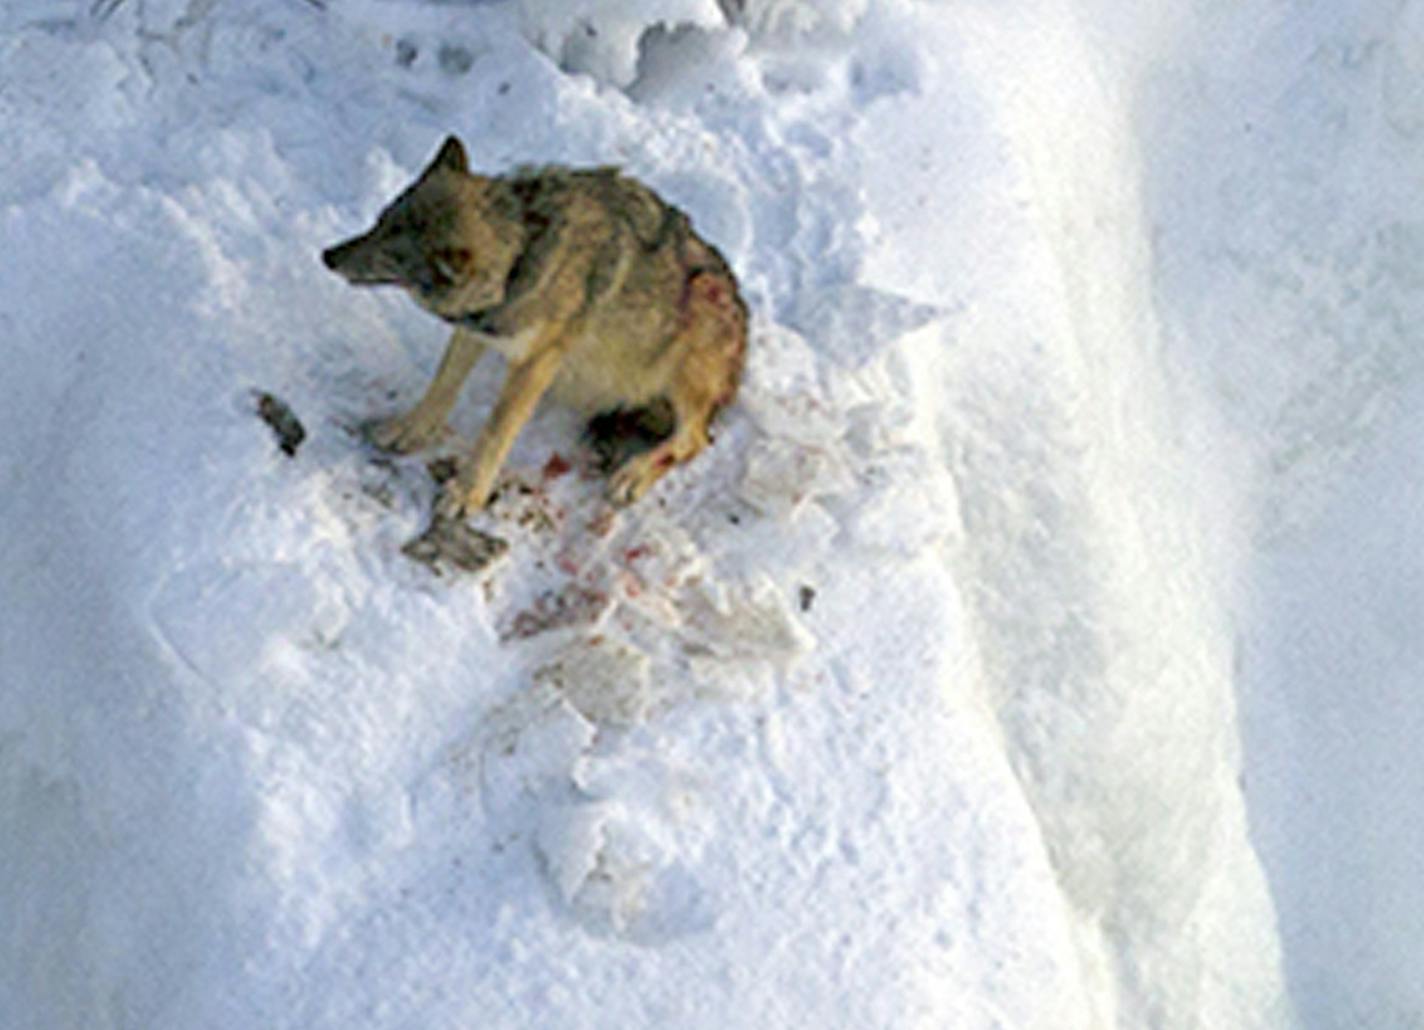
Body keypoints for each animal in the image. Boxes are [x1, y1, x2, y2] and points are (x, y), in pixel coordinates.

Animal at [320, 134, 746, 524]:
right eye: (378, 223)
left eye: (389, 256)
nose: (327, 255)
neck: (522, 251)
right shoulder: (477, 330)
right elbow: (442, 387)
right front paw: (410, 430)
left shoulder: (536, 361)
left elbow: (495, 432)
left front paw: (467, 494)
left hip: (698, 316)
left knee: (696, 439)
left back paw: (633, 475)